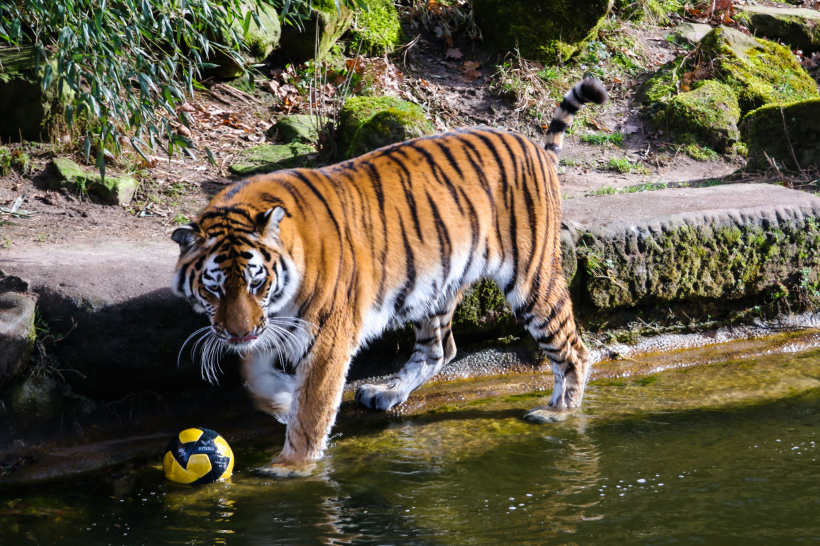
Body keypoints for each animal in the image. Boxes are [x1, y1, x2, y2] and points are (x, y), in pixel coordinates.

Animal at [171, 76, 608, 472]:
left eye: (256, 282)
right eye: (213, 290)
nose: (236, 335)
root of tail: (536, 148)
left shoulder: (327, 335)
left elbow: (313, 407)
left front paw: (292, 466)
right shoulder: (270, 324)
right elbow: (253, 375)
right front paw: (280, 398)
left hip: (532, 279)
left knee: (575, 350)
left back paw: (559, 413)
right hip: (434, 286)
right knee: (440, 349)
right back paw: (387, 391)